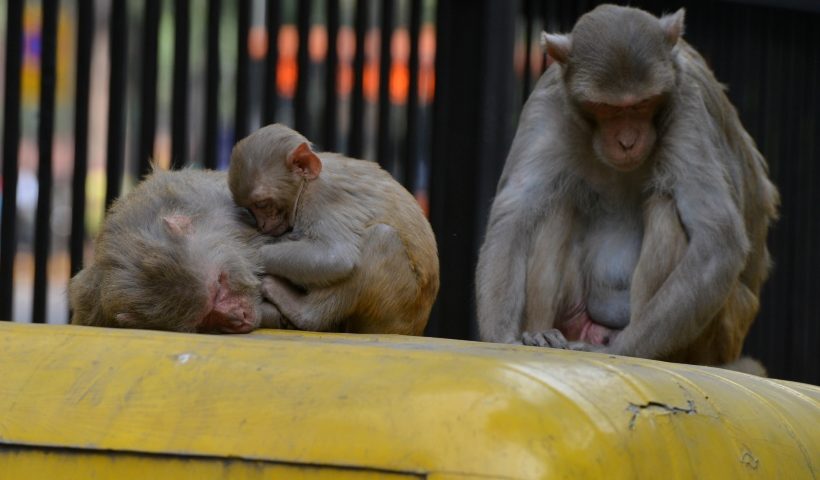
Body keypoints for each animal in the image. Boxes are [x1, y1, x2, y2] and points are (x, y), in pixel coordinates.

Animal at [228, 123, 439, 335]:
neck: (307, 184)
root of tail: (416, 327)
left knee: (380, 237)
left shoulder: (323, 197)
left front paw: (249, 254)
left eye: (262, 204)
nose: (262, 225)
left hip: (398, 307)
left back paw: (303, 313)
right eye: (250, 208)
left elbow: (336, 256)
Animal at [475, 5, 779, 369]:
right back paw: (542, 333)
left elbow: (718, 240)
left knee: (665, 207)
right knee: (555, 205)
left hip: (718, 332)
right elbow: (515, 213)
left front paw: (618, 352)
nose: (627, 141)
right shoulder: (548, 101)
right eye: (607, 108)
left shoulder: (687, 108)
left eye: (642, 104)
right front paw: (502, 338)